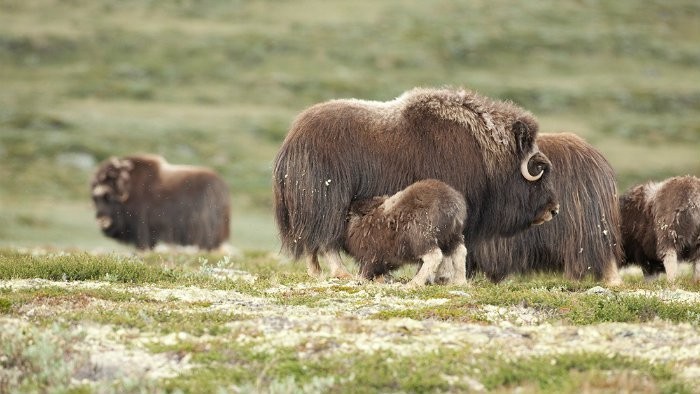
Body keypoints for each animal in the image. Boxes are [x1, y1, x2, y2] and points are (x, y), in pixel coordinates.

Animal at [272, 87, 556, 278]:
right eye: (538, 169)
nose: (553, 209)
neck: (486, 154)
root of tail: (291, 141)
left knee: (312, 242)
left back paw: (317, 273)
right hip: (329, 201)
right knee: (326, 239)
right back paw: (342, 273)